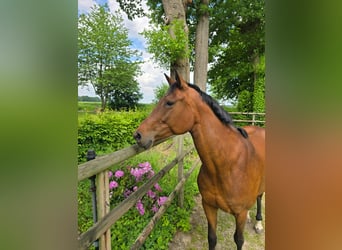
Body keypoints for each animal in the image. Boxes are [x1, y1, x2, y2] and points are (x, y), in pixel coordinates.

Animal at [134, 71, 264, 249]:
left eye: (169, 102)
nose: (138, 135)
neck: (227, 166)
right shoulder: (208, 206)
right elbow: (212, 238)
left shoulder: (240, 213)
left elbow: (239, 240)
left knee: (260, 197)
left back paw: (258, 223)